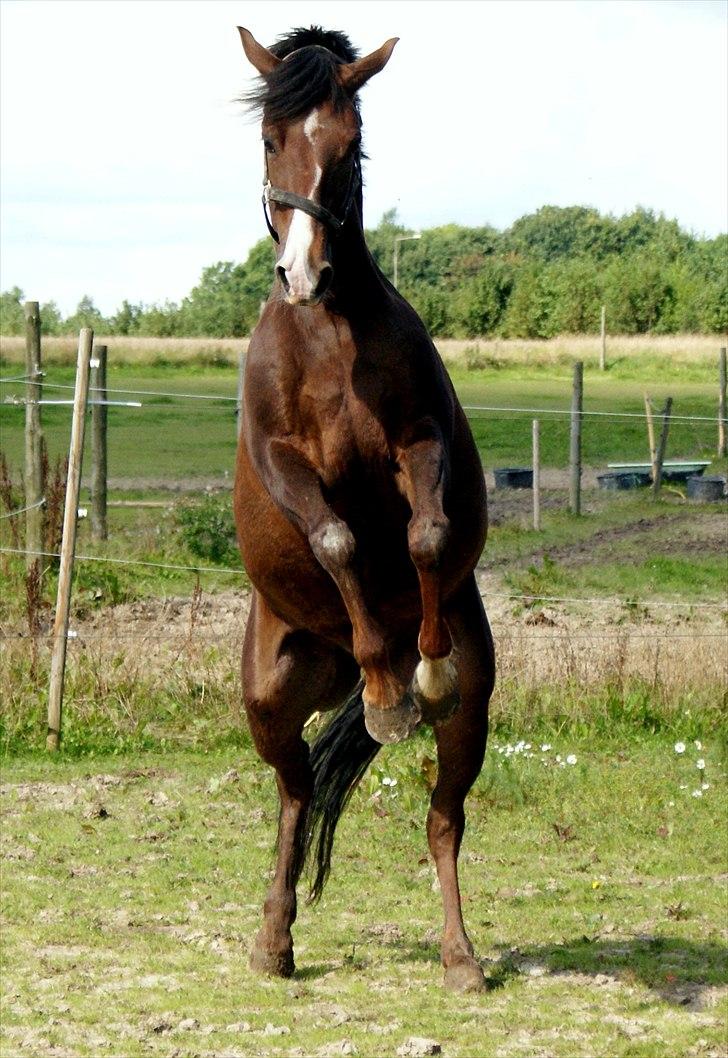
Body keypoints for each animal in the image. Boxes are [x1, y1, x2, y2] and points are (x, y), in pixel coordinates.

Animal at [232, 26, 495, 998]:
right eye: (271, 139)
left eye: (350, 148)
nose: (302, 272)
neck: (328, 335)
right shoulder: (283, 461)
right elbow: (339, 536)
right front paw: (388, 687)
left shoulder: (419, 441)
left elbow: (425, 535)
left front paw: (419, 674)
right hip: (268, 699)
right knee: (296, 790)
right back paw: (272, 942)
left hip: (476, 717)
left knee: (443, 821)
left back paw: (461, 957)